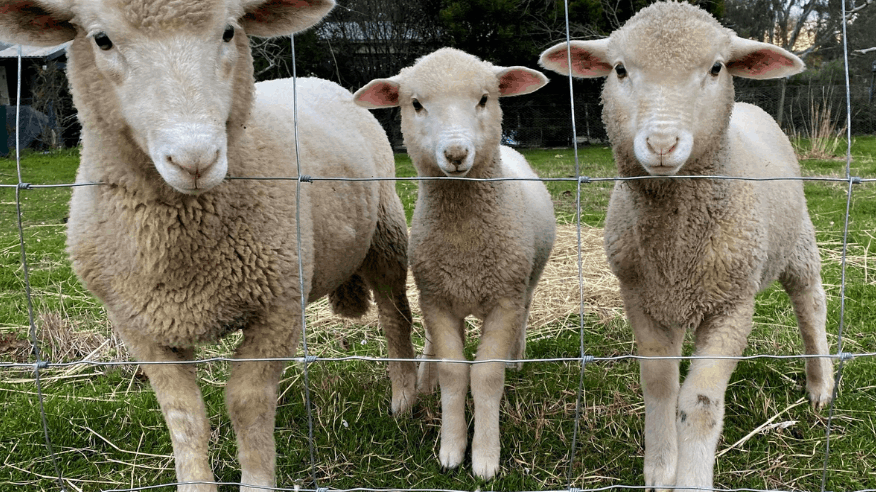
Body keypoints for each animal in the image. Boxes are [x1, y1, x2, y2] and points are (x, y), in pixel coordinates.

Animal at [0, 0, 418, 490]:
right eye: (101, 39)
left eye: (228, 31)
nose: (195, 159)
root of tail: (315, 80)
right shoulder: (138, 324)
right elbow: (184, 414)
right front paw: (196, 480)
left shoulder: (277, 308)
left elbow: (247, 402)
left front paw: (257, 479)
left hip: (385, 232)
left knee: (395, 317)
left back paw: (405, 399)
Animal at [353, 47, 556, 480]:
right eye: (415, 104)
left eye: (484, 98)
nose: (457, 154)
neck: (465, 242)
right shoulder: (437, 299)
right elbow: (453, 372)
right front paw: (451, 447)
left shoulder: (504, 298)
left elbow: (486, 375)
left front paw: (484, 457)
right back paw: (426, 376)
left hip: (527, 280)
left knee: (526, 312)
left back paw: (517, 358)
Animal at [539, 2, 834, 489]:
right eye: (620, 69)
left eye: (716, 68)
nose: (661, 144)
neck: (676, 243)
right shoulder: (644, 299)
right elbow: (660, 387)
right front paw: (661, 468)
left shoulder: (732, 306)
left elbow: (698, 405)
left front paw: (691, 478)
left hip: (798, 244)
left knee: (811, 305)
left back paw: (820, 384)